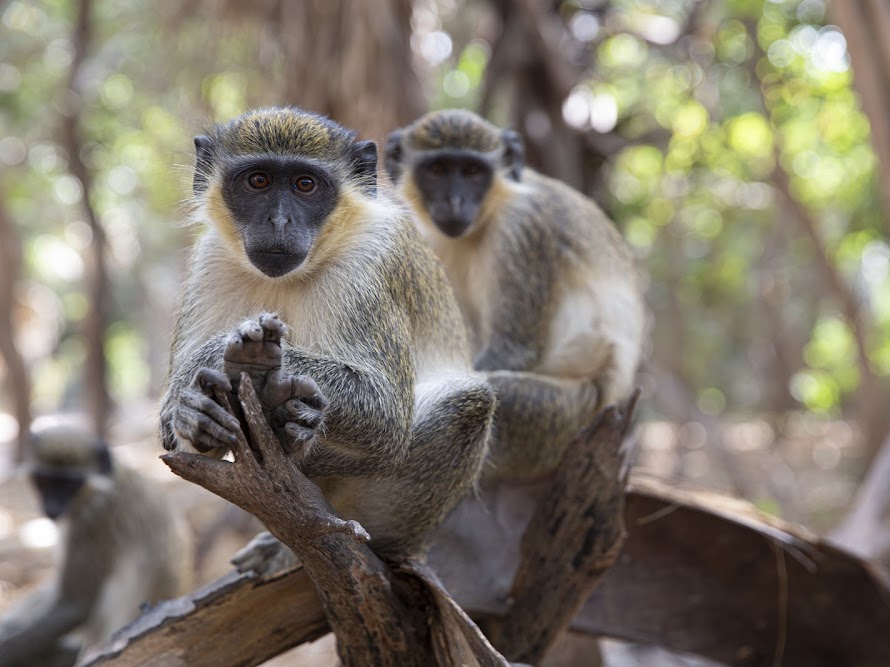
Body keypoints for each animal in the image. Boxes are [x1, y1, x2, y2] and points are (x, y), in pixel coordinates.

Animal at [158, 107, 495, 565]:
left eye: (306, 184)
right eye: (258, 181)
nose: (279, 220)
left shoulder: (369, 265)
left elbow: (387, 413)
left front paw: (221, 358)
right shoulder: (210, 263)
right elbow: (177, 443)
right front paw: (194, 409)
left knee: (468, 403)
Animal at [385, 109, 645, 482]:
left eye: (472, 171)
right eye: (437, 169)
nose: (454, 201)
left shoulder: (521, 228)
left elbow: (512, 352)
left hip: (566, 418)